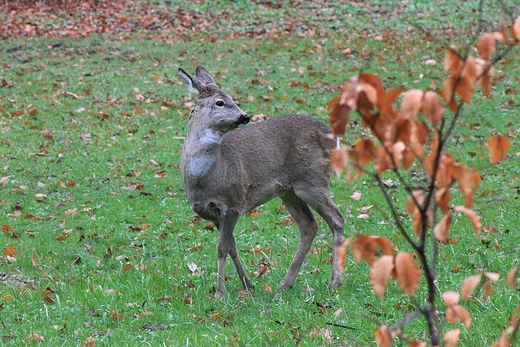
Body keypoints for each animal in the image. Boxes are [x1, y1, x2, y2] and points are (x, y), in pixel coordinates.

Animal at [179, 66, 346, 300]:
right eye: (220, 102)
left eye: (231, 98)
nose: (245, 116)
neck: (207, 177)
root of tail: (335, 139)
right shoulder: (214, 214)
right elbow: (231, 246)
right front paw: (247, 284)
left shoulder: (233, 203)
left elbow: (222, 248)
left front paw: (220, 292)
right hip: (289, 190)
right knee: (309, 226)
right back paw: (286, 284)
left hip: (312, 180)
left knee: (336, 218)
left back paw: (334, 282)